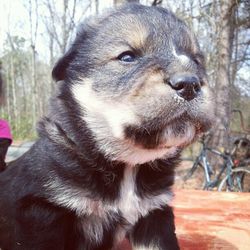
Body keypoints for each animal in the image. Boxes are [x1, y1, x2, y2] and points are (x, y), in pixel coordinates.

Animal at [0, 2, 213, 250]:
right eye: (127, 57)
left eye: (196, 61)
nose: (189, 84)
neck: (129, 165)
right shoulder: (44, 210)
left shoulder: (154, 214)